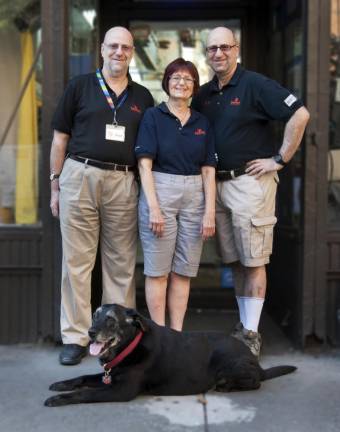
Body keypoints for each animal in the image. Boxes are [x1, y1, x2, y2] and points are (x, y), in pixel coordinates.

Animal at [44, 302, 294, 406]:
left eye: (111, 320)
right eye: (95, 315)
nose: (90, 332)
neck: (130, 347)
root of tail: (257, 364)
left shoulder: (121, 390)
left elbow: (85, 393)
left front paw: (59, 399)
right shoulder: (110, 377)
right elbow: (83, 378)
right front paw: (61, 385)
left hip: (229, 364)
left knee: (255, 383)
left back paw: (227, 386)